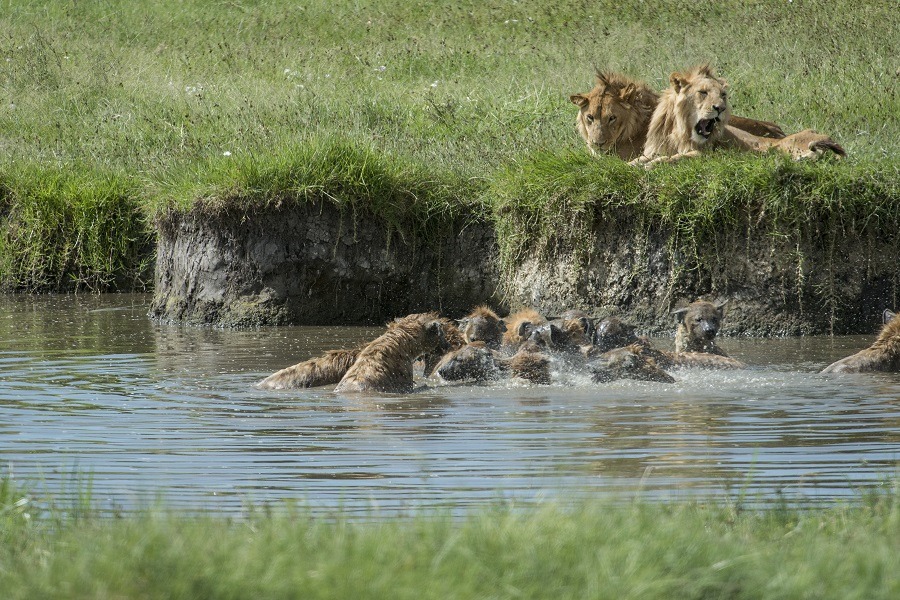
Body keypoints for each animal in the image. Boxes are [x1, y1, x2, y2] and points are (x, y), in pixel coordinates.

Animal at [628, 64, 848, 168]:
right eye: (703, 92)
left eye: (723, 95)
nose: (720, 108)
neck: (680, 133)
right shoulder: (655, 149)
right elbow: (639, 159)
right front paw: (634, 165)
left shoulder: (707, 155)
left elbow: (676, 158)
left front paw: (653, 165)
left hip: (787, 146)